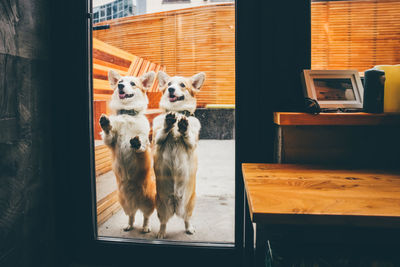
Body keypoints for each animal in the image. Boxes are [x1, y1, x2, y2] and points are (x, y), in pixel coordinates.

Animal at [98, 70, 156, 233]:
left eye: (132, 83)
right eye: (120, 82)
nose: (120, 86)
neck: (127, 114)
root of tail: (136, 201)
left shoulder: (144, 139)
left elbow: (141, 143)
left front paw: (136, 143)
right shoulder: (110, 141)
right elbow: (109, 133)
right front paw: (106, 123)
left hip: (149, 201)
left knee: (146, 216)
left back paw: (145, 227)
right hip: (124, 203)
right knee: (132, 215)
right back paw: (129, 225)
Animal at [151, 70, 205, 239]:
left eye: (182, 85)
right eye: (169, 84)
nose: (171, 89)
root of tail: (175, 206)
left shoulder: (191, 144)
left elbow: (187, 136)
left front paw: (183, 126)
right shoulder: (158, 140)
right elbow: (163, 131)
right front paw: (168, 122)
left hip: (190, 205)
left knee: (186, 219)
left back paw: (189, 228)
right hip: (160, 206)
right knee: (163, 222)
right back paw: (161, 233)